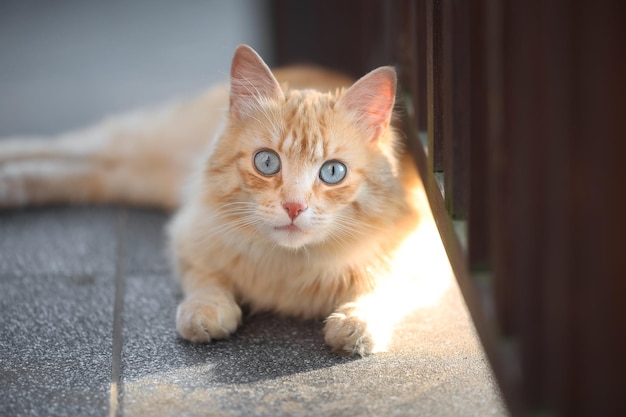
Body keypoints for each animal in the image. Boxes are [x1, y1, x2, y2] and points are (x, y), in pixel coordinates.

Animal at [1, 44, 438, 354]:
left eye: (332, 172)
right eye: (267, 162)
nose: (294, 207)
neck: (290, 264)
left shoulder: (421, 262)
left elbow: (384, 290)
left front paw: (356, 324)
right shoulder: (188, 235)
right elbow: (206, 280)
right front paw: (207, 313)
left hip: (126, 177)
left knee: (72, 169)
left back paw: (10, 187)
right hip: (140, 143)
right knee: (63, 146)